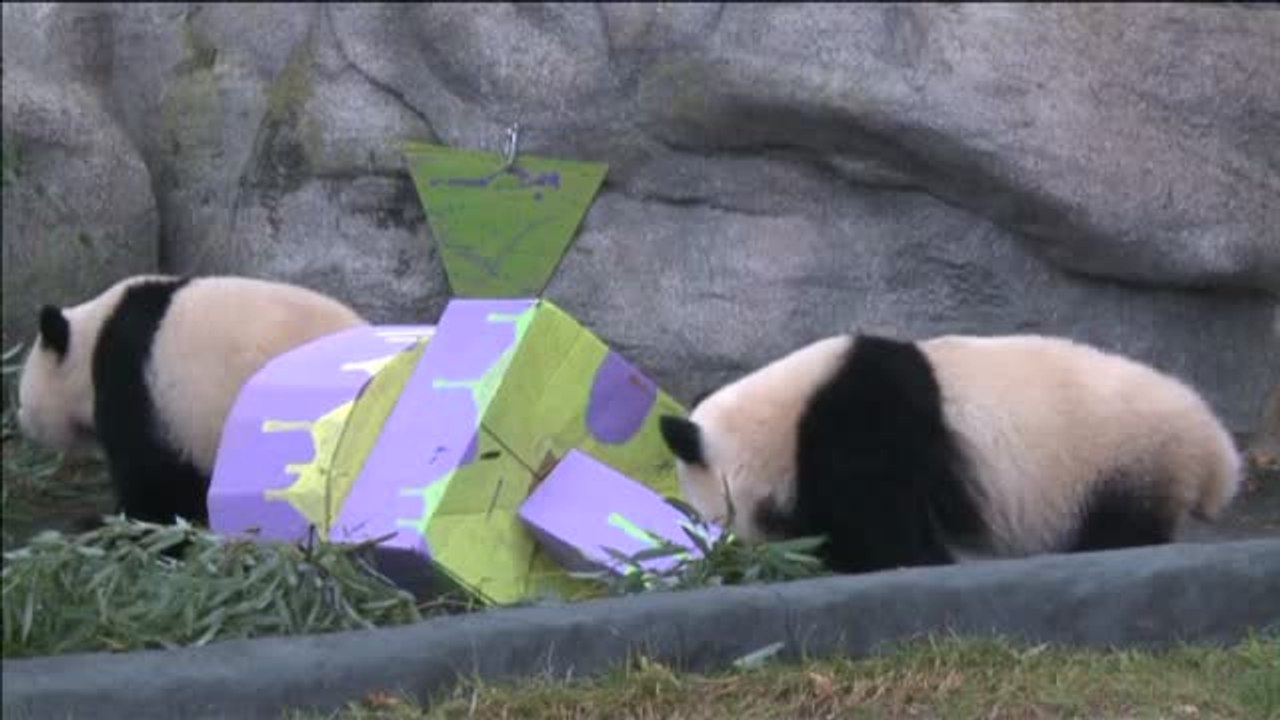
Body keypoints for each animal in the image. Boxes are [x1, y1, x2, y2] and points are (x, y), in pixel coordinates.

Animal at [658, 332, 1243, 575]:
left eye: (715, 514)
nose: (734, 547)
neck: (781, 417)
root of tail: (1214, 447)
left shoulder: (861, 424)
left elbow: (879, 522)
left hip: (1123, 457)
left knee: (1121, 526)